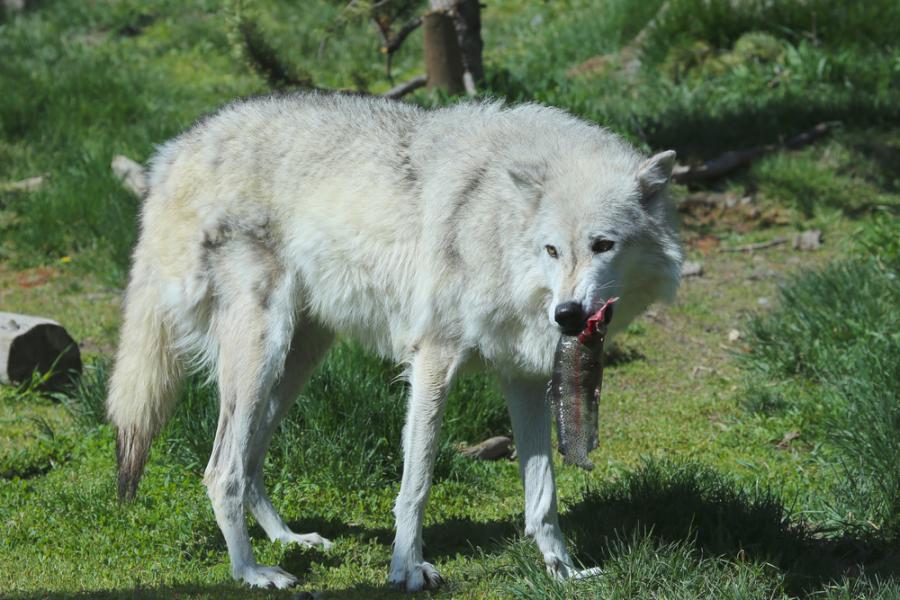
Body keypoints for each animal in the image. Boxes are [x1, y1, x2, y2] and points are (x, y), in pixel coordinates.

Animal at [105, 94, 680, 592]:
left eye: (603, 245)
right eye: (553, 249)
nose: (567, 315)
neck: (496, 225)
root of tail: (174, 152)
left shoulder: (524, 379)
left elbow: (543, 495)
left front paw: (562, 570)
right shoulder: (434, 360)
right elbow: (416, 484)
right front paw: (406, 569)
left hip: (297, 362)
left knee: (248, 464)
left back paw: (289, 539)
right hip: (261, 356)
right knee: (221, 470)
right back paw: (251, 572)